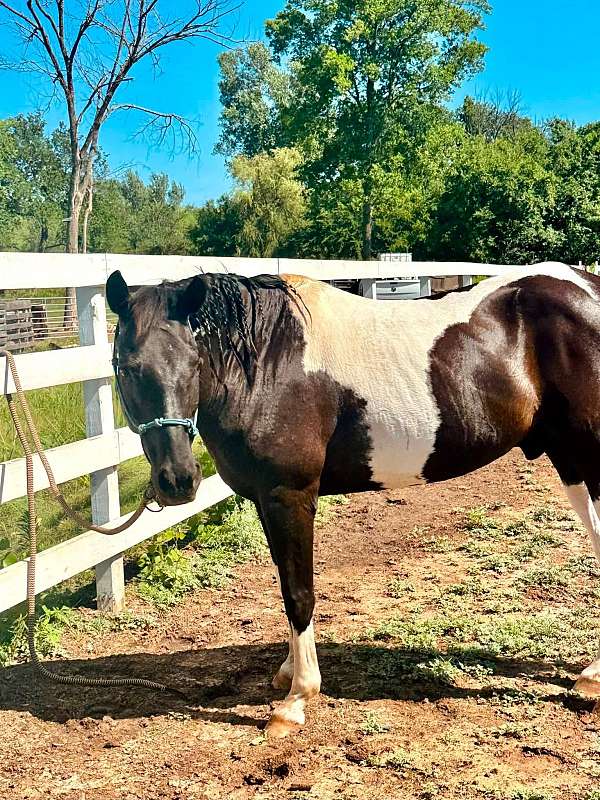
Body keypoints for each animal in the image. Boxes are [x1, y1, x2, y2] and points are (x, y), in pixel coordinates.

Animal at [106, 261, 600, 737]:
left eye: (193, 362)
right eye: (126, 367)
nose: (178, 480)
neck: (267, 365)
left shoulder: (290, 495)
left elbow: (299, 592)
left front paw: (297, 700)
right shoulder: (268, 501)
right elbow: (285, 584)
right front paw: (288, 673)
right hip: (570, 461)